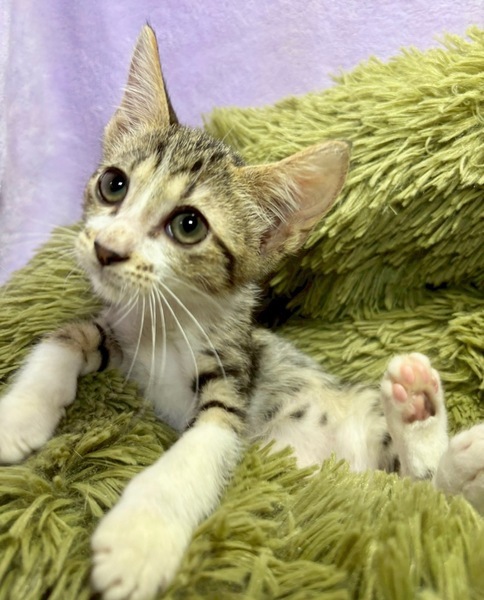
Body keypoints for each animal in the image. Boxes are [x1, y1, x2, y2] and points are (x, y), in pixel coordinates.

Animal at [0, 24, 483, 600]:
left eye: (188, 225)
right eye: (113, 184)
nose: (106, 249)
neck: (168, 323)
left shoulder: (233, 377)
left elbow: (197, 449)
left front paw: (139, 536)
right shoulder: (115, 330)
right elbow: (63, 338)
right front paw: (17, 415)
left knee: (429, 491)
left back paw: (430, 423)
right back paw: (420, 410)